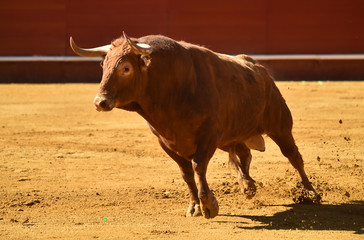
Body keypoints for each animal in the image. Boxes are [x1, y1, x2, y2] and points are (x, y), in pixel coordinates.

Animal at [69, 32, 320, 218]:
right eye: (104, 66)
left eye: (126, 68)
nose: (100, 102)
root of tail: (260, 70)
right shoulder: (166, 142)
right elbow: (186, 172)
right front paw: (195, 206)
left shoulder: (208, 136)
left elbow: (199, 166)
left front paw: (209, 204)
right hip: (233, 135)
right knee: (244, 154)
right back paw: (247, 186)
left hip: (281, 126)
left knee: (293, 156)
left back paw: (311, 193)